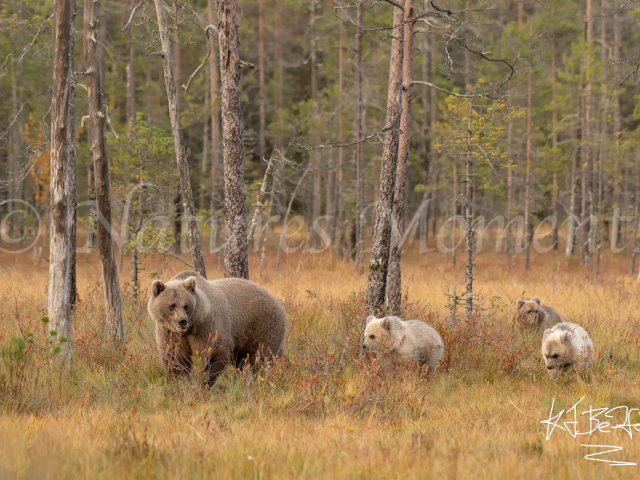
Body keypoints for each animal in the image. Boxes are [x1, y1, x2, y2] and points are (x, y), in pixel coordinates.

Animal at [148, 272, 288, 384]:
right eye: (172, 306)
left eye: (186, 306)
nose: (182, 321)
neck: (190, 328)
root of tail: (277, 301)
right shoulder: (170, 333)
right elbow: (176, 359)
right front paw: (181, 382)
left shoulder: (207, 327)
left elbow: (215, 353)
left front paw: (204, 381)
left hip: (263, 326)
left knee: (260, 358)